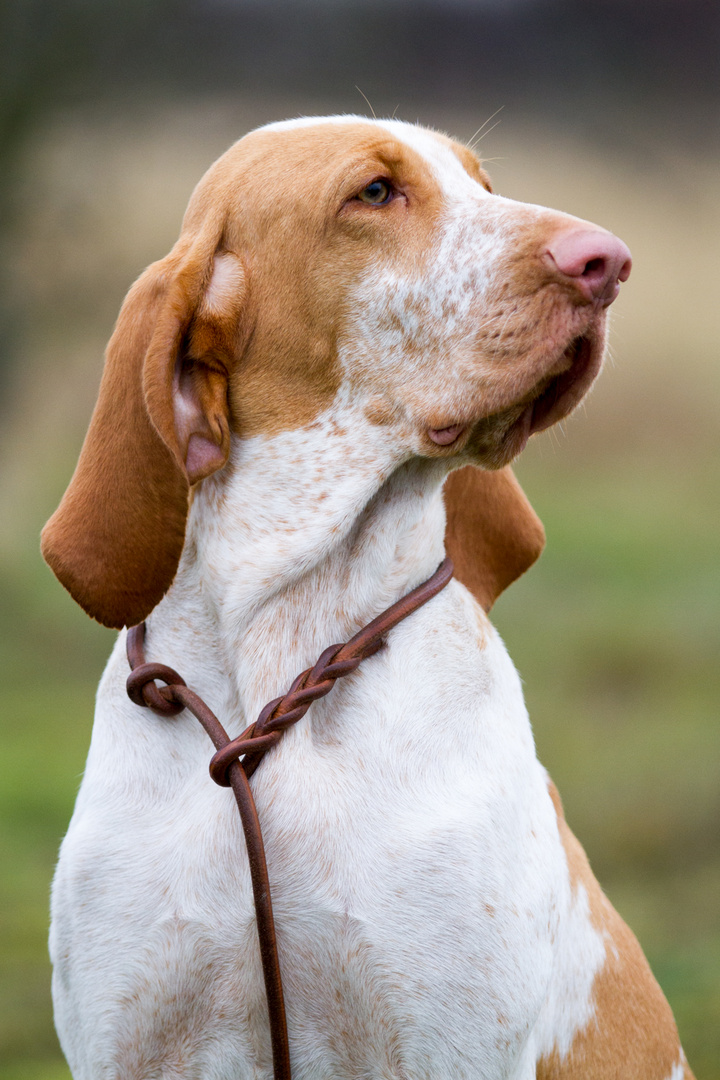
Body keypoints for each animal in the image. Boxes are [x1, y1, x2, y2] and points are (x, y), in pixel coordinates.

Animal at [40, 118, 690, 1080]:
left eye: (481, 184)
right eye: (375, 193)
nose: (605, 260)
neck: (281, 638)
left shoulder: (442, 1045)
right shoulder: (134, 1045)